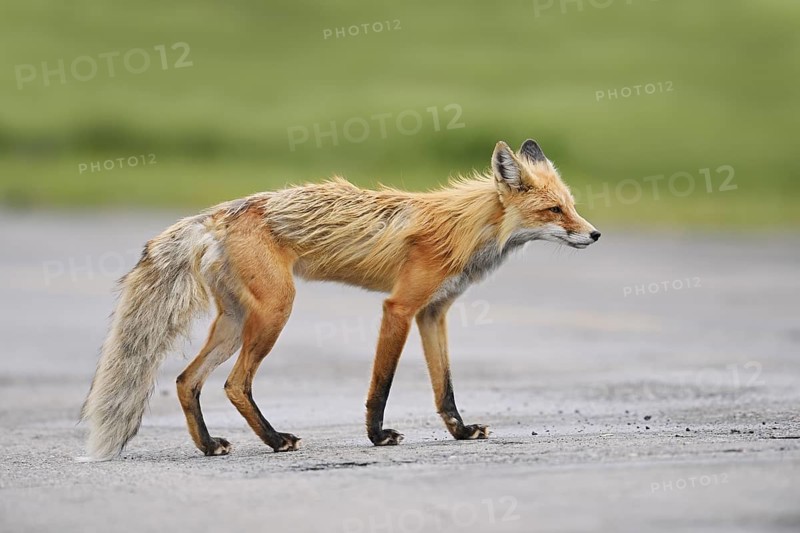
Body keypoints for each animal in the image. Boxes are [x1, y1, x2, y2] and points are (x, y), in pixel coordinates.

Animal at [80, 139, 600, 460]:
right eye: (553, 210)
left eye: (572, 206)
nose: (595, 234)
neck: (465, 228)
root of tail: (217, 214)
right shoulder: (399, 308)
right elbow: (381, 385)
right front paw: (376, 436)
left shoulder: (434, 313)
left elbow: (444, 388)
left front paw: (461, 432)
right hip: (275, 312)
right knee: (234, 384)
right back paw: (275, 440)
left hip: (234, 321)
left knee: (187, 380)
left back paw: (209, 447)